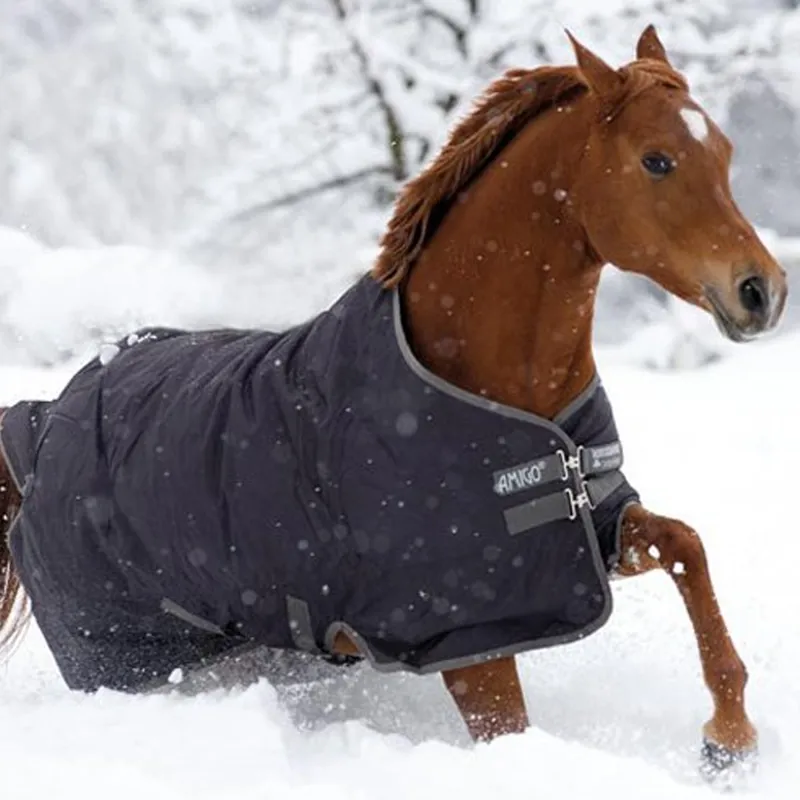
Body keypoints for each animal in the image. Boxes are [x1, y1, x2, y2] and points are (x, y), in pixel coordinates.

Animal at [0, 25, 787, 780]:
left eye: (724, 151)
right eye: (656, 161)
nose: (763, 291)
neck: (499, 388)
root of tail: (41, 422)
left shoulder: (586, 534)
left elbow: (687, 546)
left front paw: (728, 741)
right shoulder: (465, 632)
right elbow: (509, 731)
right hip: (130, 658)